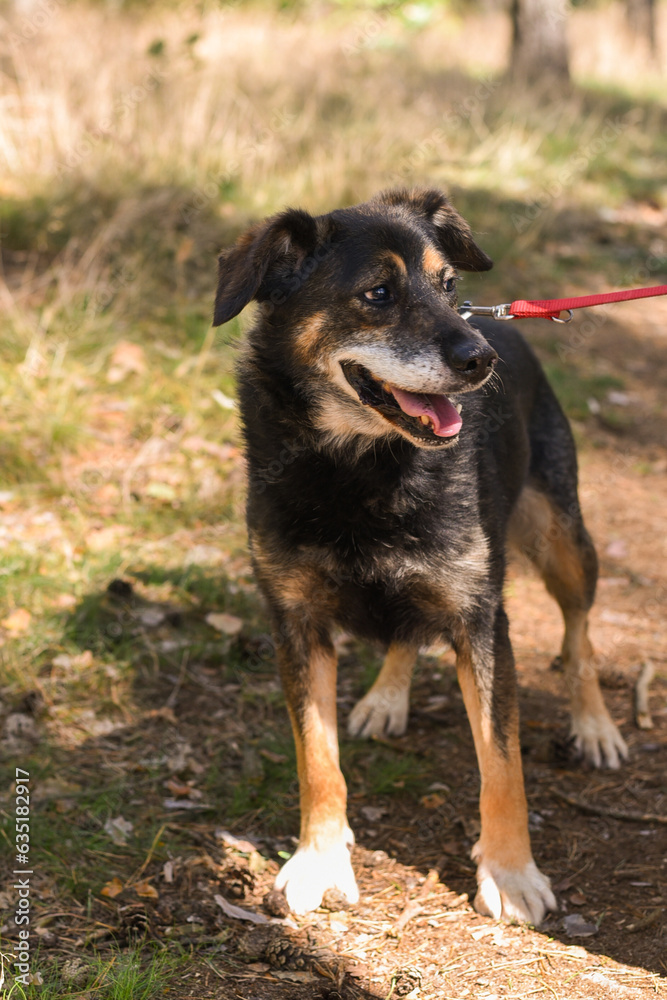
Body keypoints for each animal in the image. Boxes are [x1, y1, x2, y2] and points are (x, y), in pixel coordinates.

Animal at [211, 188, 628, 920]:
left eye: (448, 284)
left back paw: (594, 723)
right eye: (377, 292)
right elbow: (317, 759)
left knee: (578, 634)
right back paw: (388, 694)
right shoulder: (295, 621)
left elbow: (502, 766)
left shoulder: (480, 619)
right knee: (406, 630)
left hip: (562, 540)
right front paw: (320, 858)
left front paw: (510, 874)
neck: (360, 467)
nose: (480, 359)